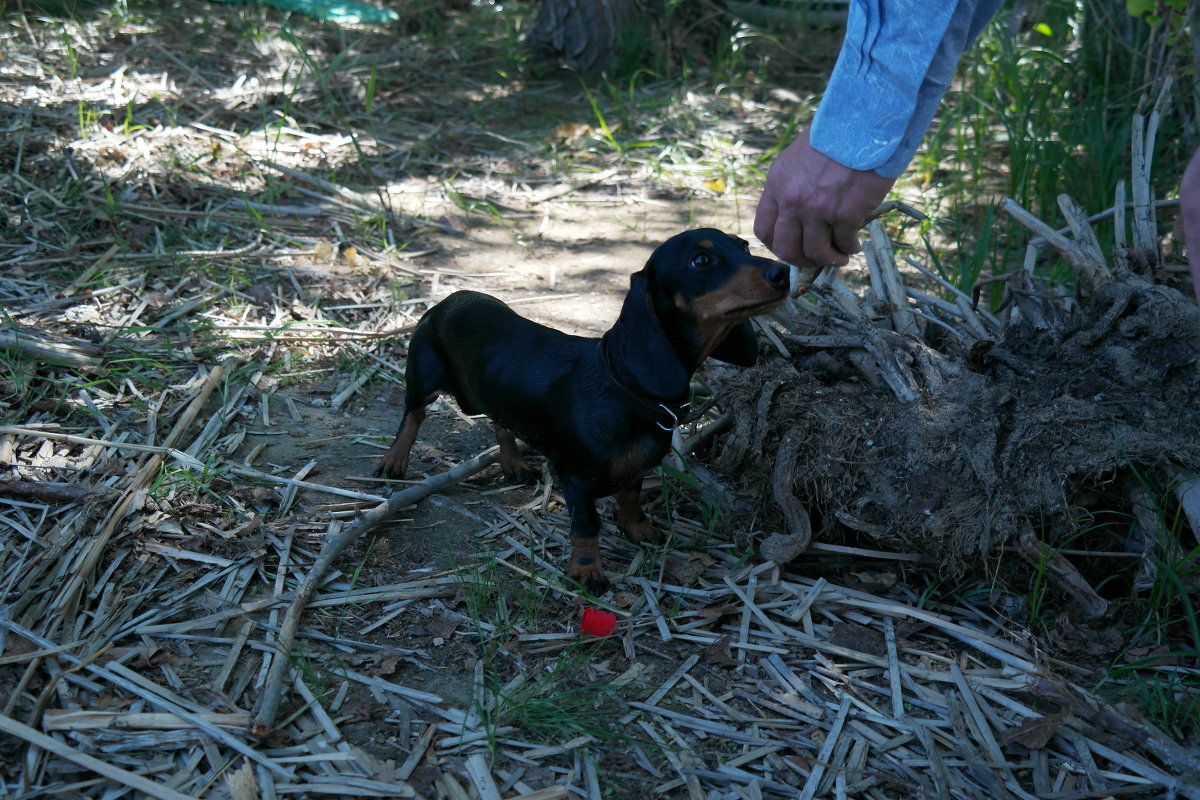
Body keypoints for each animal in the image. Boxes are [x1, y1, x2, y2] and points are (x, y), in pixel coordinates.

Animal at [374, 227, 787, 592]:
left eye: (744, 245)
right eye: (701, 260)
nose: (783, 272)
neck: (621, 387)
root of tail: (450, 300)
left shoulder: (636, 467)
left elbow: (631, 498)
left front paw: (638, 529)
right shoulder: (576, 479)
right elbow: (587, 526)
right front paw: (587, 570)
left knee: (500, 422)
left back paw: (513, 462)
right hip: (423, 378)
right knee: (412, 416)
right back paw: (394, 461)